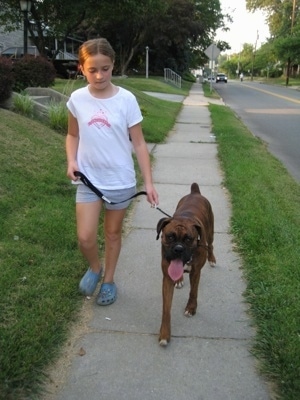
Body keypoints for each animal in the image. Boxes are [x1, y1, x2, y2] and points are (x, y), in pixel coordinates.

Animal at [157, 183, 216, 346]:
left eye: (188, 239)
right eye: (170, 237)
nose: (178, 249)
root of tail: (195, 192)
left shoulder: (196, 272)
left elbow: (193, 292)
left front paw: (191, 308)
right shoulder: (167, 278)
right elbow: (166, 308)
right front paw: (165, 333)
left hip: (211, 231)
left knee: (211, 245)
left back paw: (212, 259)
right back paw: (179, 279)